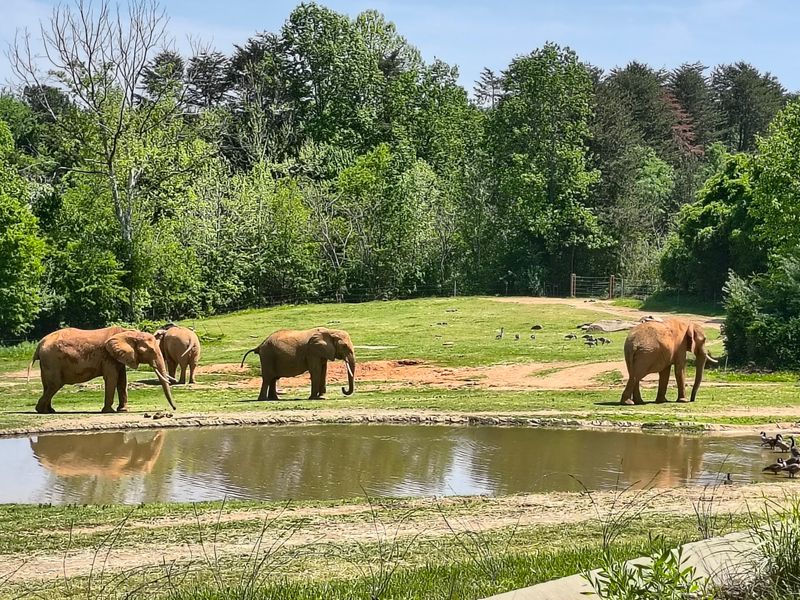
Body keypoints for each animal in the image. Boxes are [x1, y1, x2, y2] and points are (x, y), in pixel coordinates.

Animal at [28, 326, 177, 414]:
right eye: (150, 350)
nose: (174, 408)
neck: (129, 333)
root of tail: (39, 344)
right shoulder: (108, 356)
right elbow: (112, 378)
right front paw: (109, 411)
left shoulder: (118, 356)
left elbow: (122, 380)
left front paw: (123, 410)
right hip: (52, 360)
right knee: (55, 384)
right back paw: (41, 411)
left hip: (47, 362)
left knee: (47, 385)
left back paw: (50, 410)